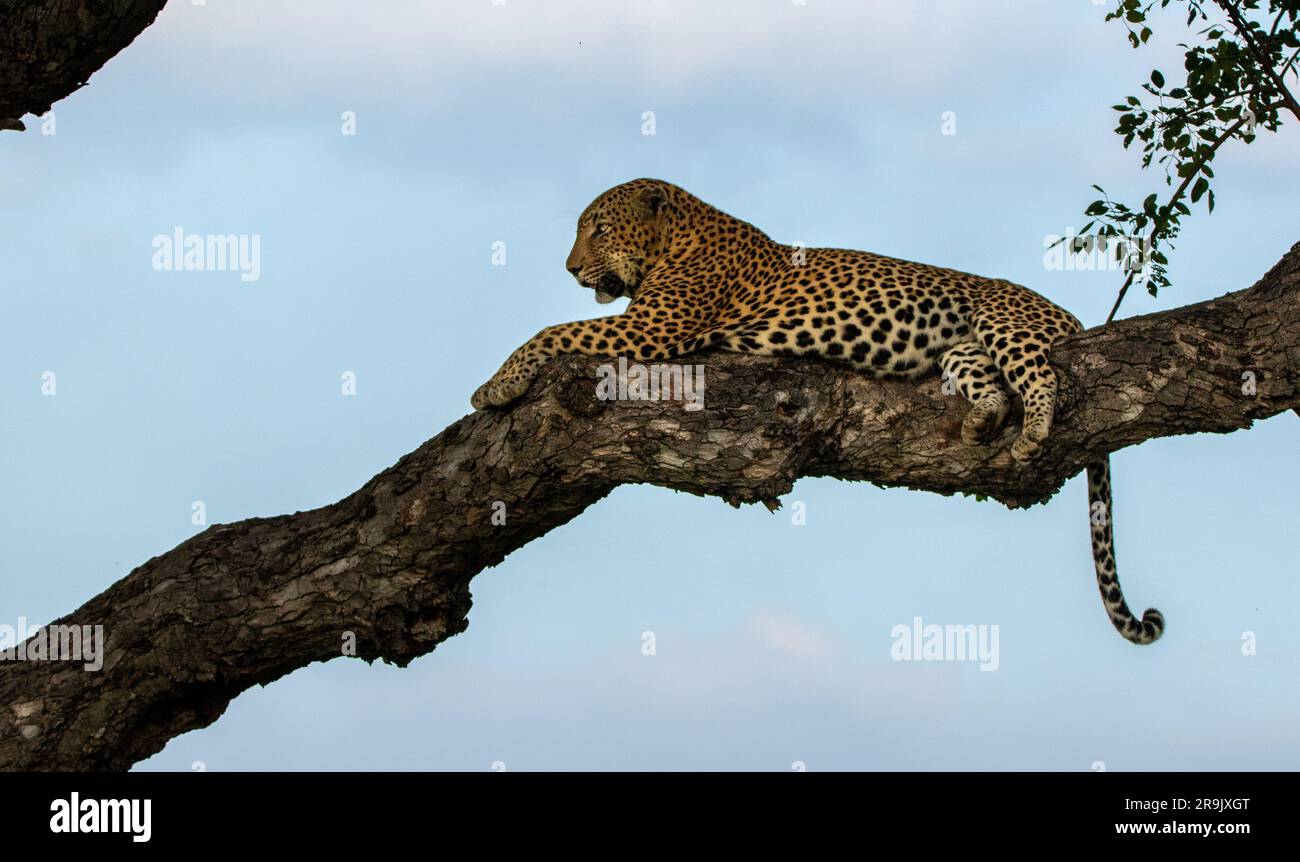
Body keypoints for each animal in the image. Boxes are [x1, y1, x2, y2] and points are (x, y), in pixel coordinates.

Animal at [473, 178, 1164, 644]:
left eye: (597, 228)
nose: (571, 268)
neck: (679, 237)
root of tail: (1067, 315)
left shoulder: (650, 329)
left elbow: (549, 331)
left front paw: (493, 387)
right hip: (960, 350)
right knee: (988, 379)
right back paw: (982, 420)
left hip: (1004, 318)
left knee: (1039, 373)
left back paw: (1034, 429)